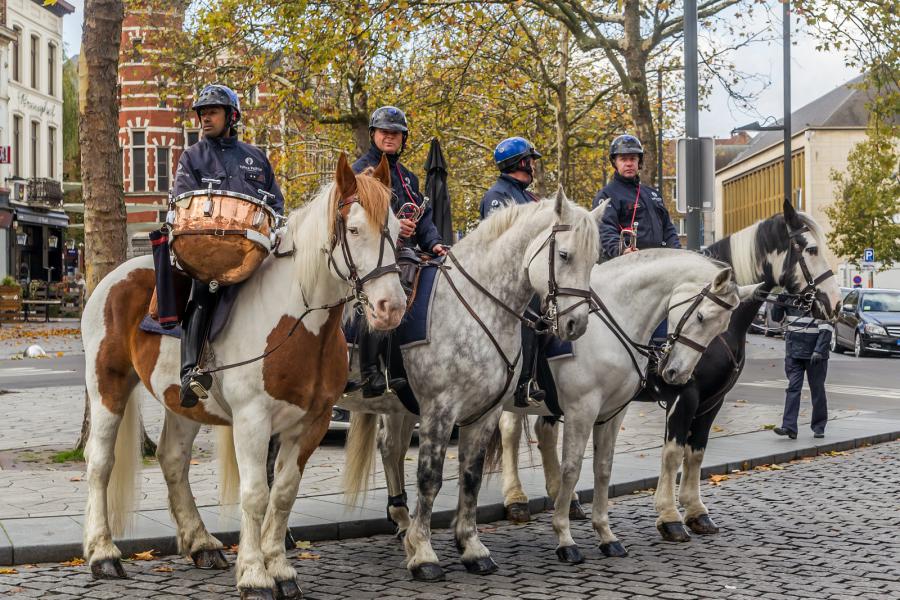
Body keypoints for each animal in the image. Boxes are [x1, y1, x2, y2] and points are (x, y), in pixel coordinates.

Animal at [82, 156, 406, 600]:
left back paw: (200, 543)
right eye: (354, 229)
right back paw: (103, 553)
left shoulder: (312, 422)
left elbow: (283, 494)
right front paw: (254, 574)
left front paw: (281, 569)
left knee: (173, 460)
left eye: (397, 229)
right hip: (107, 387)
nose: (392, 306)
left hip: (182, 402)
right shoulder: (253, 421)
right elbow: (255, 495)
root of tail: (115, 276)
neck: (298, 322)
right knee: (100, 462)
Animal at [342, 193, 600, 580]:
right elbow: (430, 478)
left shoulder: (484, 412)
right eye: (565, 254)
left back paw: (401, 518)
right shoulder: (439, 410)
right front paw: (424, 553)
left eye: (595, 259)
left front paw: (471, 547)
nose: (576, 324)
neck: (475, 305)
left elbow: (471, 476)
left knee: (389, 447)